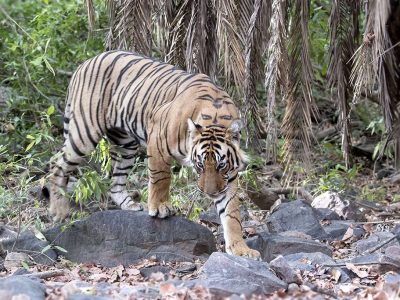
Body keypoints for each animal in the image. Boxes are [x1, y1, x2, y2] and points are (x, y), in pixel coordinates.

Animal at [48, 50, 260, 258]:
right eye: (199, 164)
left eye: (221, 165)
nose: (210, 193)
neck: (215, 117)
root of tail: (84, 63)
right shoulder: (156, 139)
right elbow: (161, 178)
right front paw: (160, 207)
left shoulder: (229, 177)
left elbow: (232, 213)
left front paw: (241, 249)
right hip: (84, 133)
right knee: (56, 165)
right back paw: (59, 211)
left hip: (126, 144)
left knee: (115, 182)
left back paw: (130, 205)